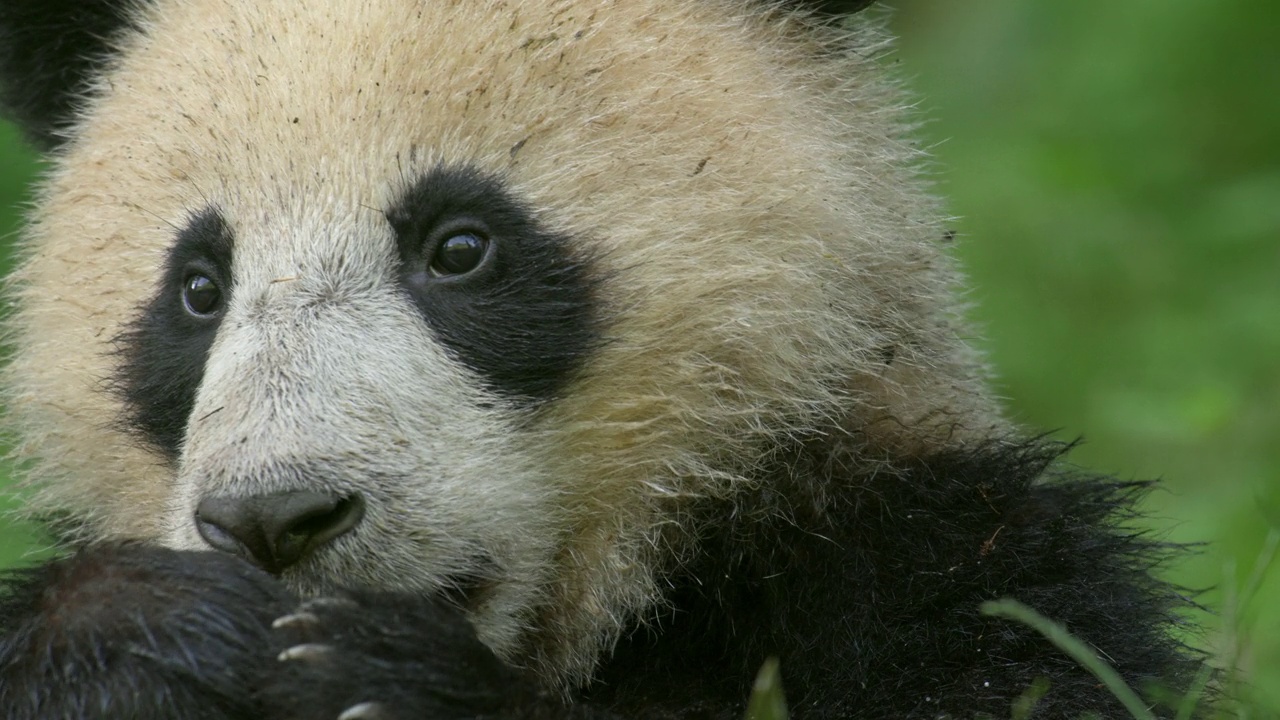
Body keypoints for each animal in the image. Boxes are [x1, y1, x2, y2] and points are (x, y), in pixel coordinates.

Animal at [0, 0, 1198, 712]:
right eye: (198, 291)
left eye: (460, 248)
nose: (274, 519)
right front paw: (134, 642)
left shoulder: (926, 552)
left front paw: (376, 677)